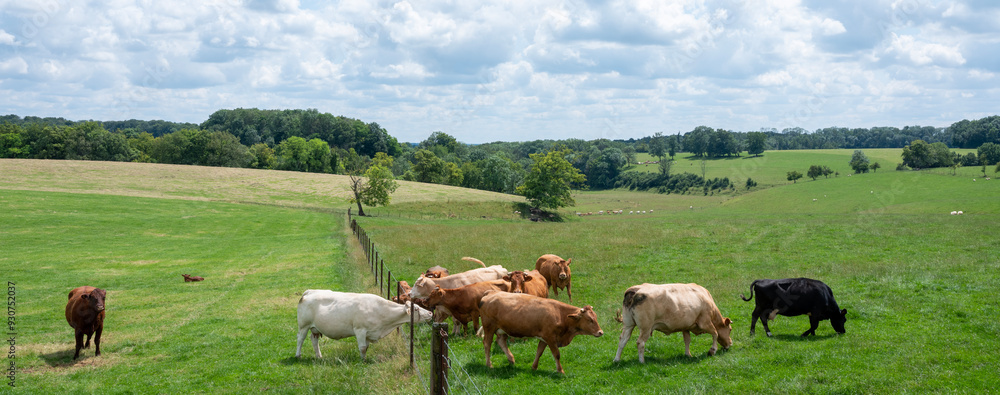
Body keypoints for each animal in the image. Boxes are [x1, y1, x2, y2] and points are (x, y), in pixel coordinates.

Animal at [294, 290, 432, 360]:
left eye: (418, 306)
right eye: (416, 309)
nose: (430, 312)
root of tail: (309, 292)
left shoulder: (370, 333)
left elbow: (366, 347)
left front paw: (364, 359)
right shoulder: (360, 330)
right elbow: (362, 347)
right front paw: (362, 361)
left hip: (315, 328)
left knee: (314, 339)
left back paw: (319, 356)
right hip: (304, 325)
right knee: (300, 339)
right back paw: (298, 355)